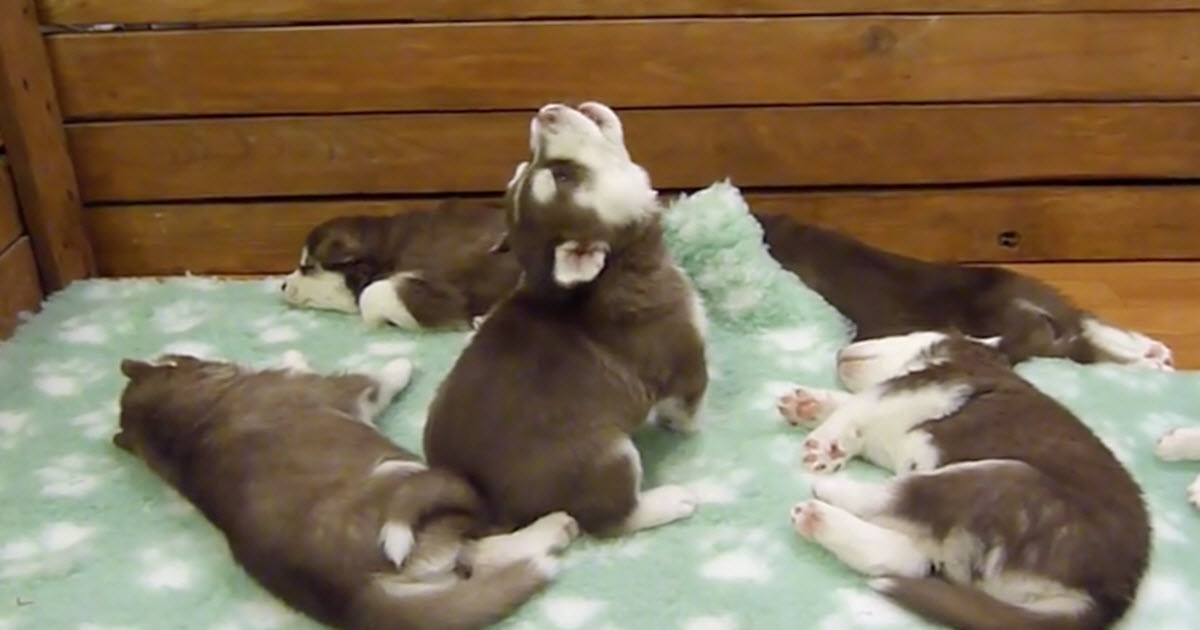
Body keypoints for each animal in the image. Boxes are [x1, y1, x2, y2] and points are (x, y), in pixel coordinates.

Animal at [114, 348, 578, 628]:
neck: (183, 423)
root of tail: (352, 596)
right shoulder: (340, 389)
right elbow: (373, 377)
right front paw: (401, 363)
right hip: (410, 482)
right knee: (483, 550)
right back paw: (554, 529)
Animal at [422, 100, 705, 532]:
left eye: (528, 166)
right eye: (562, 176)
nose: (544, 113)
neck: (619, 265)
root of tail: (489, 510)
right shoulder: (685, 360)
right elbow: (687, 407)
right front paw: (689, 428)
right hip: (611, 457)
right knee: (609, 519)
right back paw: (668, 502)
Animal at [772, 331, 1147, 624]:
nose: (841, 351)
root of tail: (1112, 594)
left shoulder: (924, 383)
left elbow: (860, 402)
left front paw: (822, 443)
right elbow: (849, 408)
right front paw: (808, 405)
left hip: (998, 479)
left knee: (897, 499)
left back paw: (829, 493)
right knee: (907, 557)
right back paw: (818, 520)